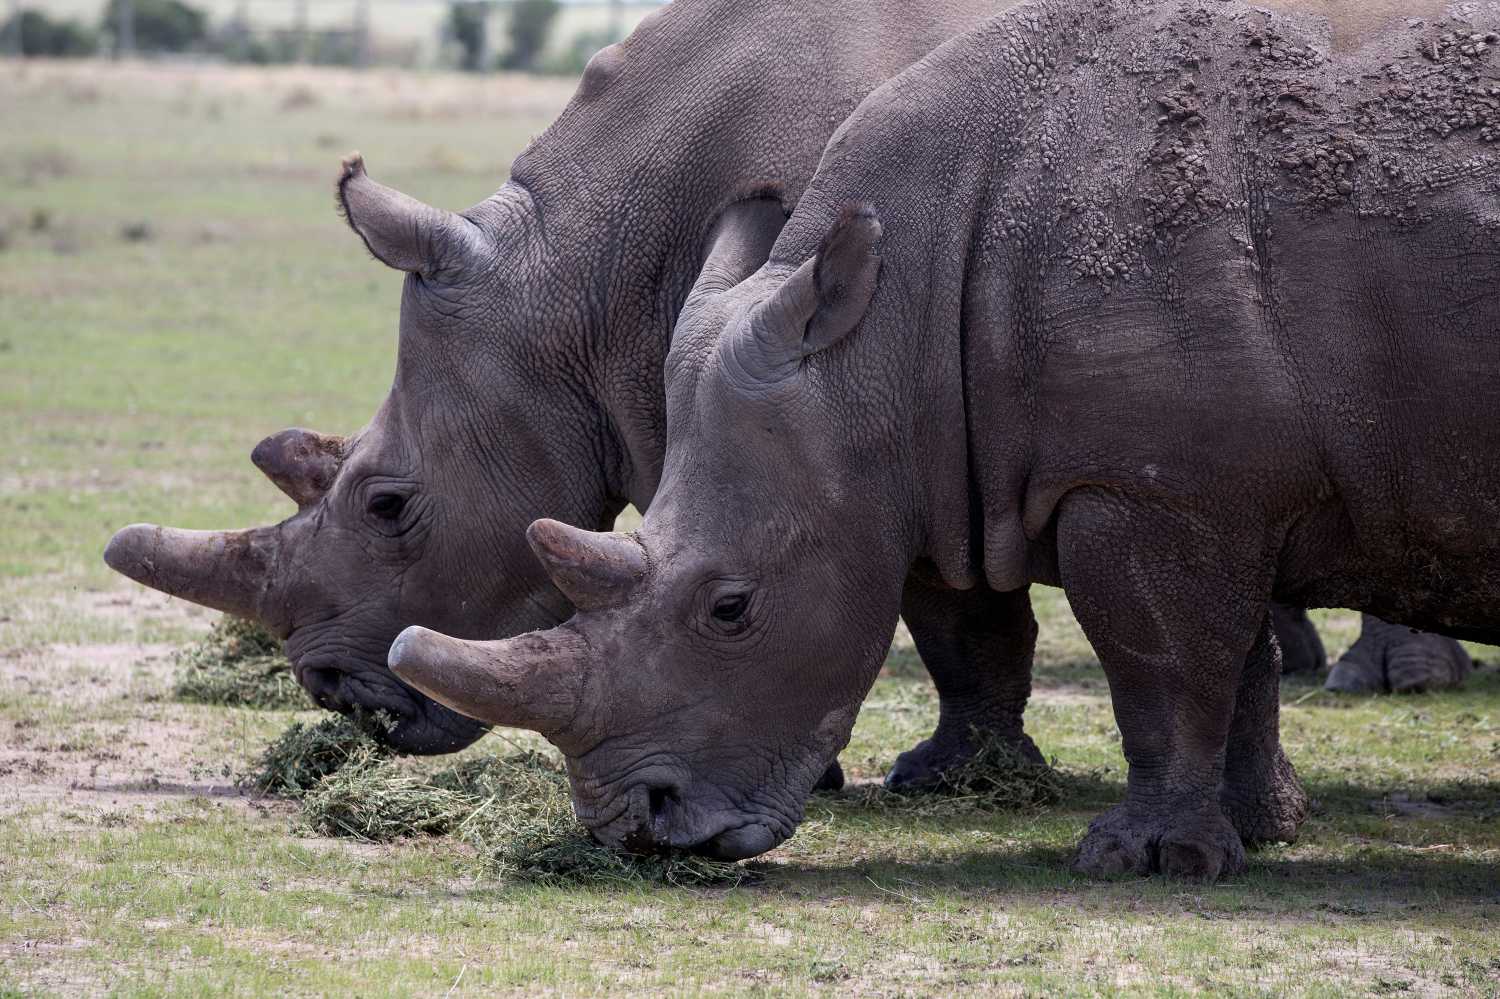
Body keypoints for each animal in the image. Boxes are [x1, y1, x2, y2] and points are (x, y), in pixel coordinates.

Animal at [387, 0, 1500, 879]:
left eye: (731, 609)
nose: (637, 828)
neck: (888, 326)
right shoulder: (1138, 477)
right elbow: (1155, 651)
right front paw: (1250, 833)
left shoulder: (1156, 488)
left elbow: (1164, 667)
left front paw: (1147, 859)